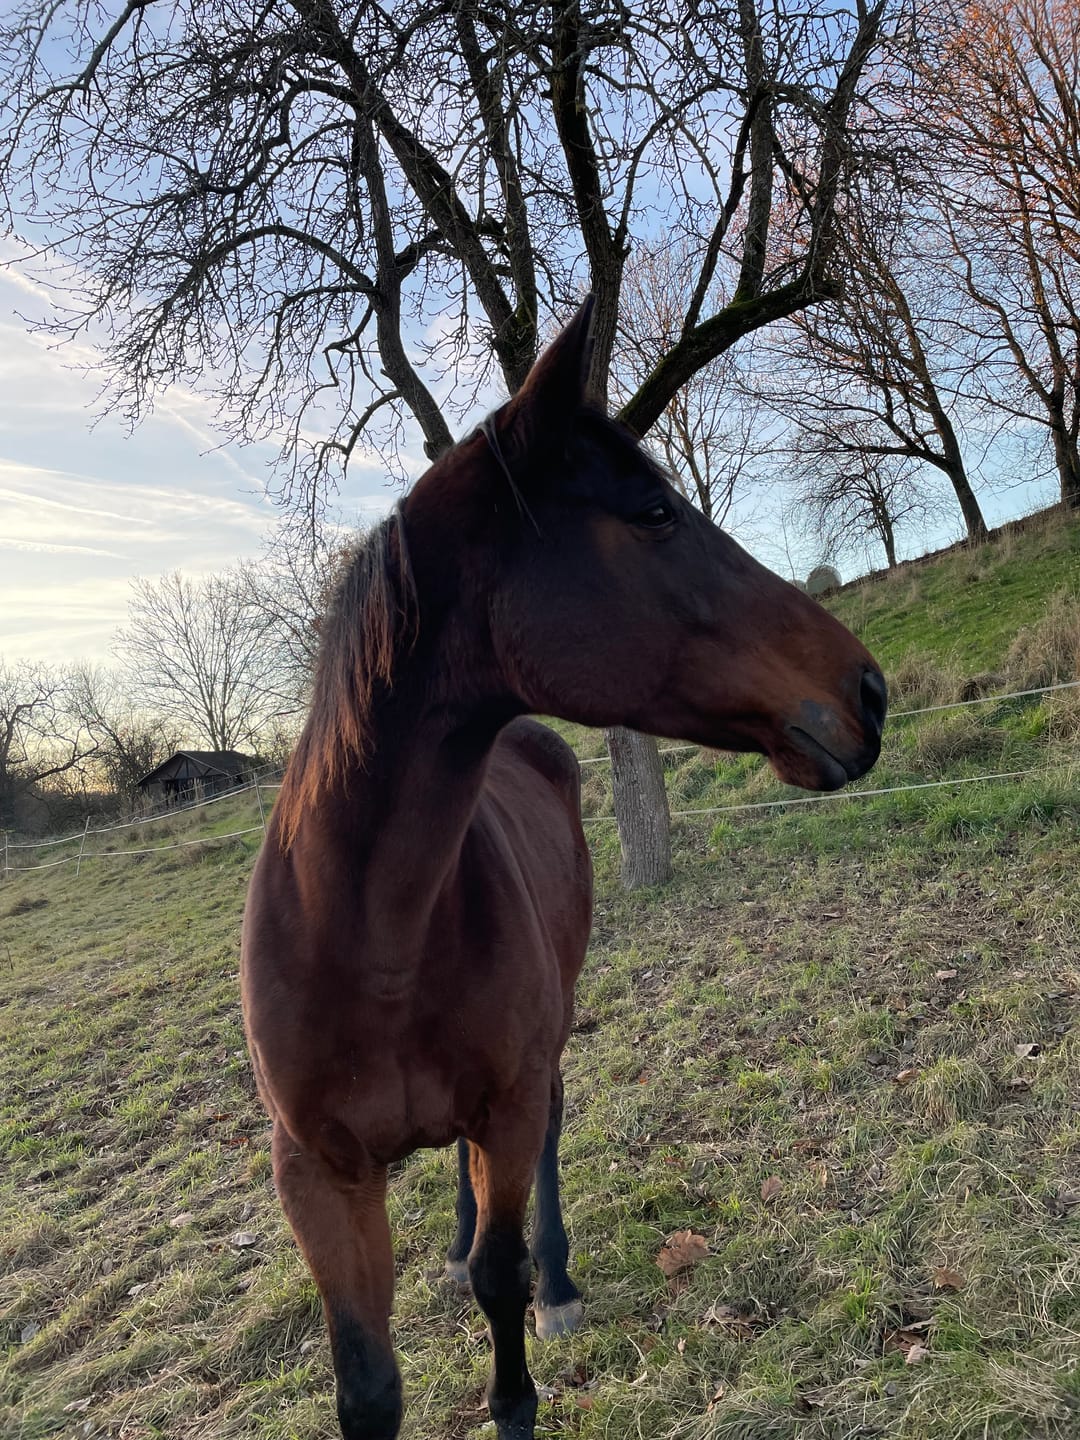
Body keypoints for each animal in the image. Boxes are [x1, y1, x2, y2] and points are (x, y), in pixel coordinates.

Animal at [240, 296, 886, 1440]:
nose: (869, 690)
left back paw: (562, 1281)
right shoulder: (317, 1174)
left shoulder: (507, 1101)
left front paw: (524, 1362)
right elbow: (366, 1382)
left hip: (549, 1043)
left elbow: (504, 1283)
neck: (367, 934)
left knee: (546, 1138)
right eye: (655, 511)